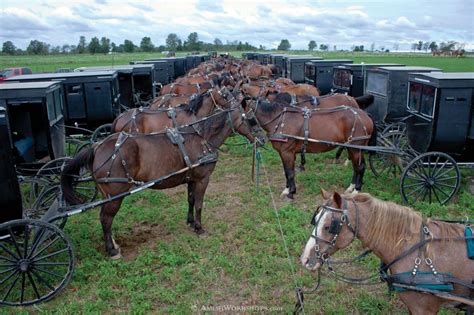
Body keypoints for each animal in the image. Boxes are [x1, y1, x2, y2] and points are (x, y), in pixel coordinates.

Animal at [60, 104, 262, 260]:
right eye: (251, 119)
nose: (262, 138)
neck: (202, 138)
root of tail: (97, 146)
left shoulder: (191, 179)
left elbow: (190, 200)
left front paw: (190, 222)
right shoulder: (202, 179)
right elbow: (199, 204)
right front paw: (199, 228)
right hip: (115, 195)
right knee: (106, 219)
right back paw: (112, 250)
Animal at [246, 98, 376, 200]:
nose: (260, 139)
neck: (281, 120)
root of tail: (365, 114)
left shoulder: (287, 152)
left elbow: (290, 172)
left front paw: (291, 192)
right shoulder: (287, 153)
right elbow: (287, 171)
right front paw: (287, 189)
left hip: (356, 148)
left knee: (360, 167)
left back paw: (356, 190)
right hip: (352, 148)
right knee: (355, 167)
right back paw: (351, 187)